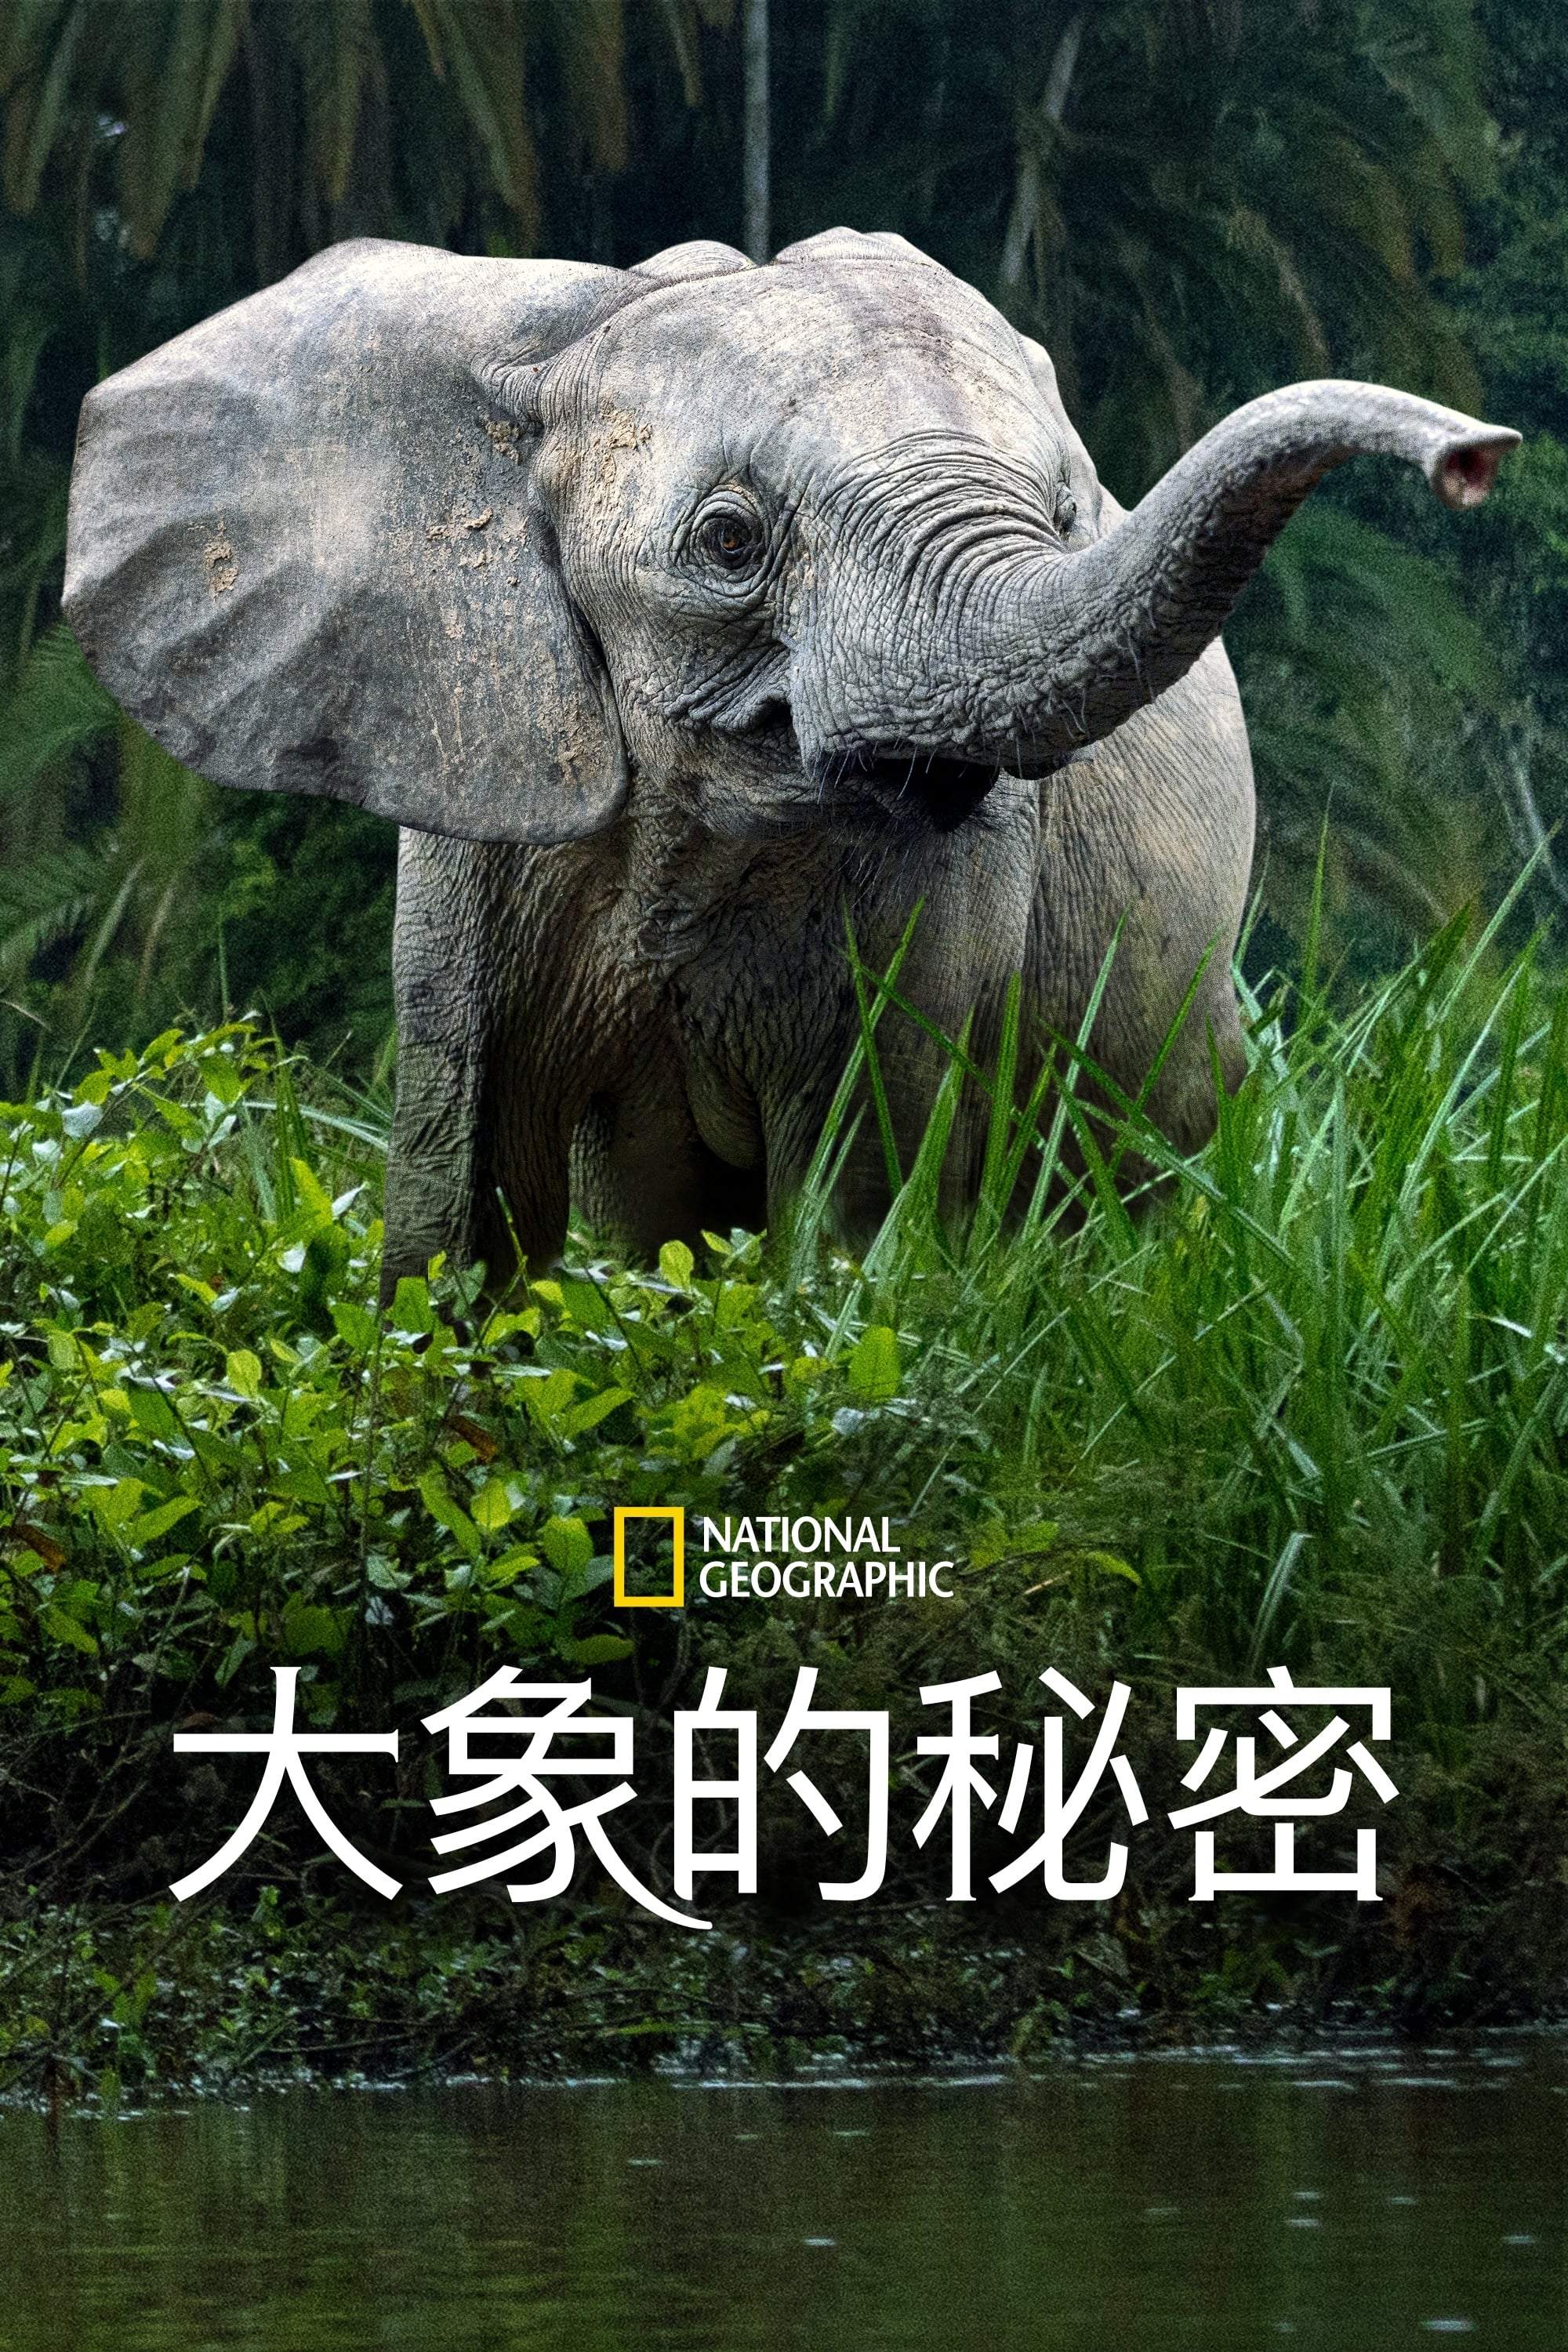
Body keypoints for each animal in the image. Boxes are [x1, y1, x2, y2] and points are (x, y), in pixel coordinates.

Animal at [62, 228, 1516, 1293]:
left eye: (1067, 517)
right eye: (729, 540)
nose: (1476, 458)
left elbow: (856, 1186)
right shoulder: (480, 786)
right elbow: (467, 1188)